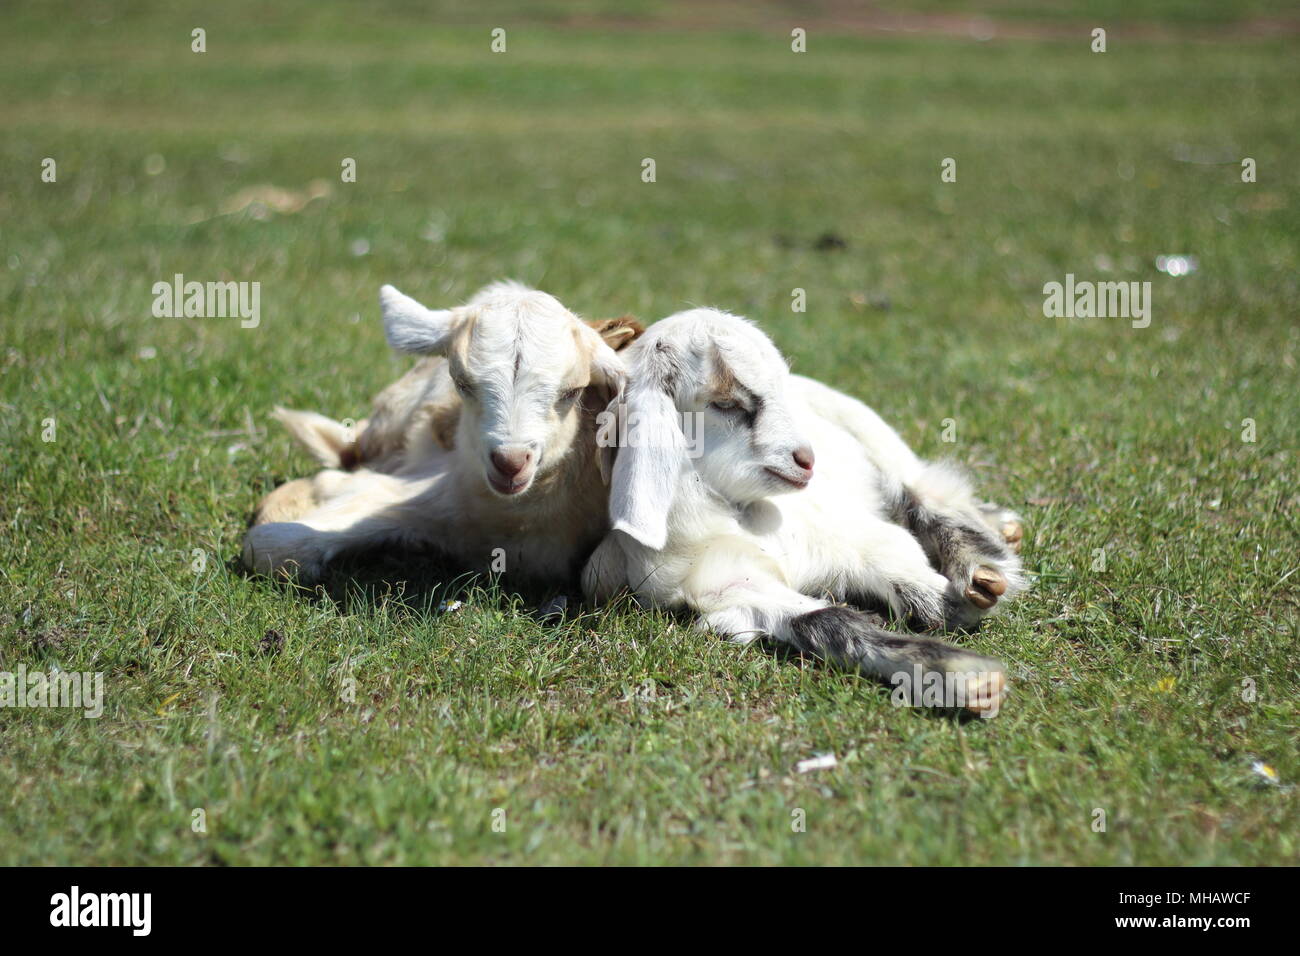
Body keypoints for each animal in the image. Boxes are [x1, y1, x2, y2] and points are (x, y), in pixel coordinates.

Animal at [582, 310, 1024, 712]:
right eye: (724, 403)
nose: (807, 459)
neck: (743, 516)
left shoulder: (848, 533)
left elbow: (901, 557)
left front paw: (957, 606)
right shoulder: (730, 588)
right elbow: (826, 622)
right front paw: (966, 677)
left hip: (871, 431)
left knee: (921, 491)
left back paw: (985, 564)